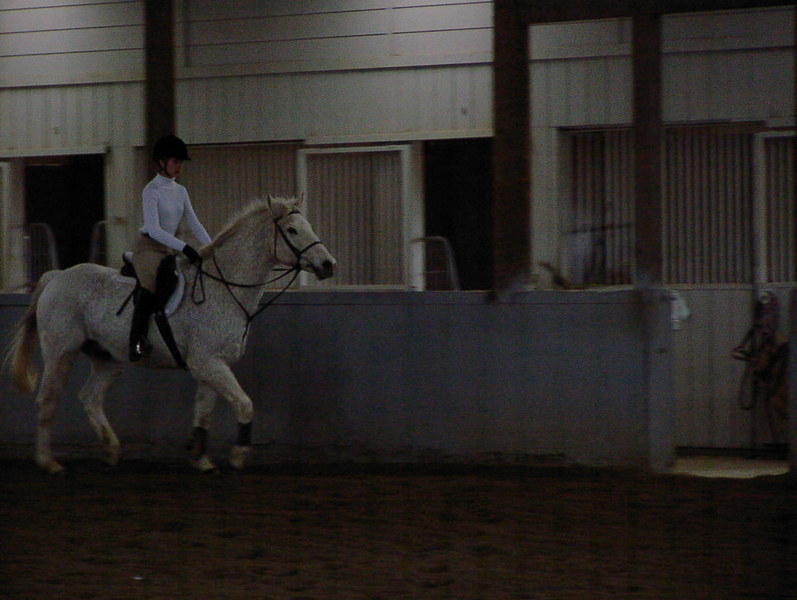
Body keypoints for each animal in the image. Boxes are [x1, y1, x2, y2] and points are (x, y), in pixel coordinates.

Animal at [4, 194, 336, 474]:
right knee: (47, 401)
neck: (224, 288)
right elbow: (244, 404)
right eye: (292, 230)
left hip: (108, 359)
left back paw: (111, 451)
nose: (328, 265)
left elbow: (203, 413)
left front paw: (201, 460)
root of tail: (57, 277)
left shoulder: (211, 366)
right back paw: (49, 462)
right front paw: (238, 455)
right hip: (61, 353)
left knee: (90, 398)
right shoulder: (208, 363)